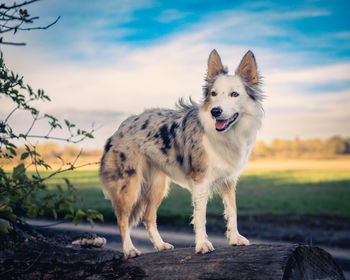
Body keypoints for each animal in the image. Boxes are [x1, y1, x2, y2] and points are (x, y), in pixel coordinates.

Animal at [98, 49, 262, 258]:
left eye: (234, 94)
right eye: (213, 94)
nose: (215, 111)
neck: (226, 134)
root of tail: (121, 127)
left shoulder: (228, 180)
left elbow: (232, 211)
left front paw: (234, 239)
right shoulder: (200, 181)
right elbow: (200, 217)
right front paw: (202, 244)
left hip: (157, 186)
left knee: (148, 217)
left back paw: (160, 245)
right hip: (129, 185)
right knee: (122, 219)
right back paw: (130, 249)